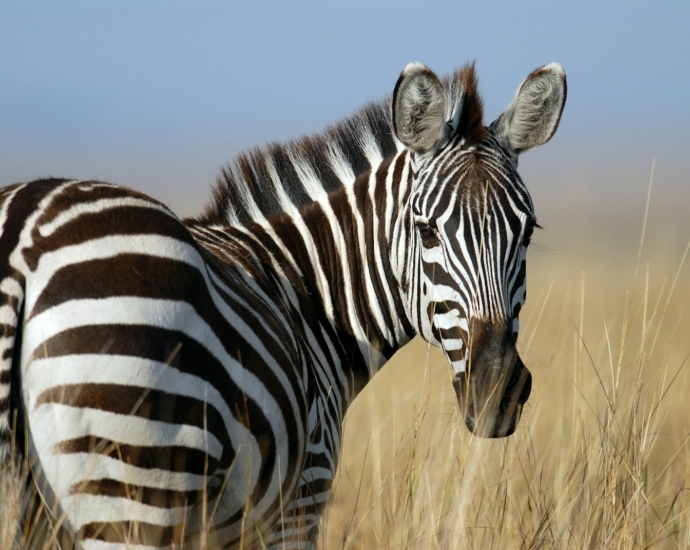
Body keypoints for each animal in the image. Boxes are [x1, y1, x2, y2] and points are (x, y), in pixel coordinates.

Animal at [0, 61, 564, 548]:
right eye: (426, 232)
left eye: (528, 233)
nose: (497, 391)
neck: (309, 295)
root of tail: (22, 237)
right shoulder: (300, 499)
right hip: (131, 492)